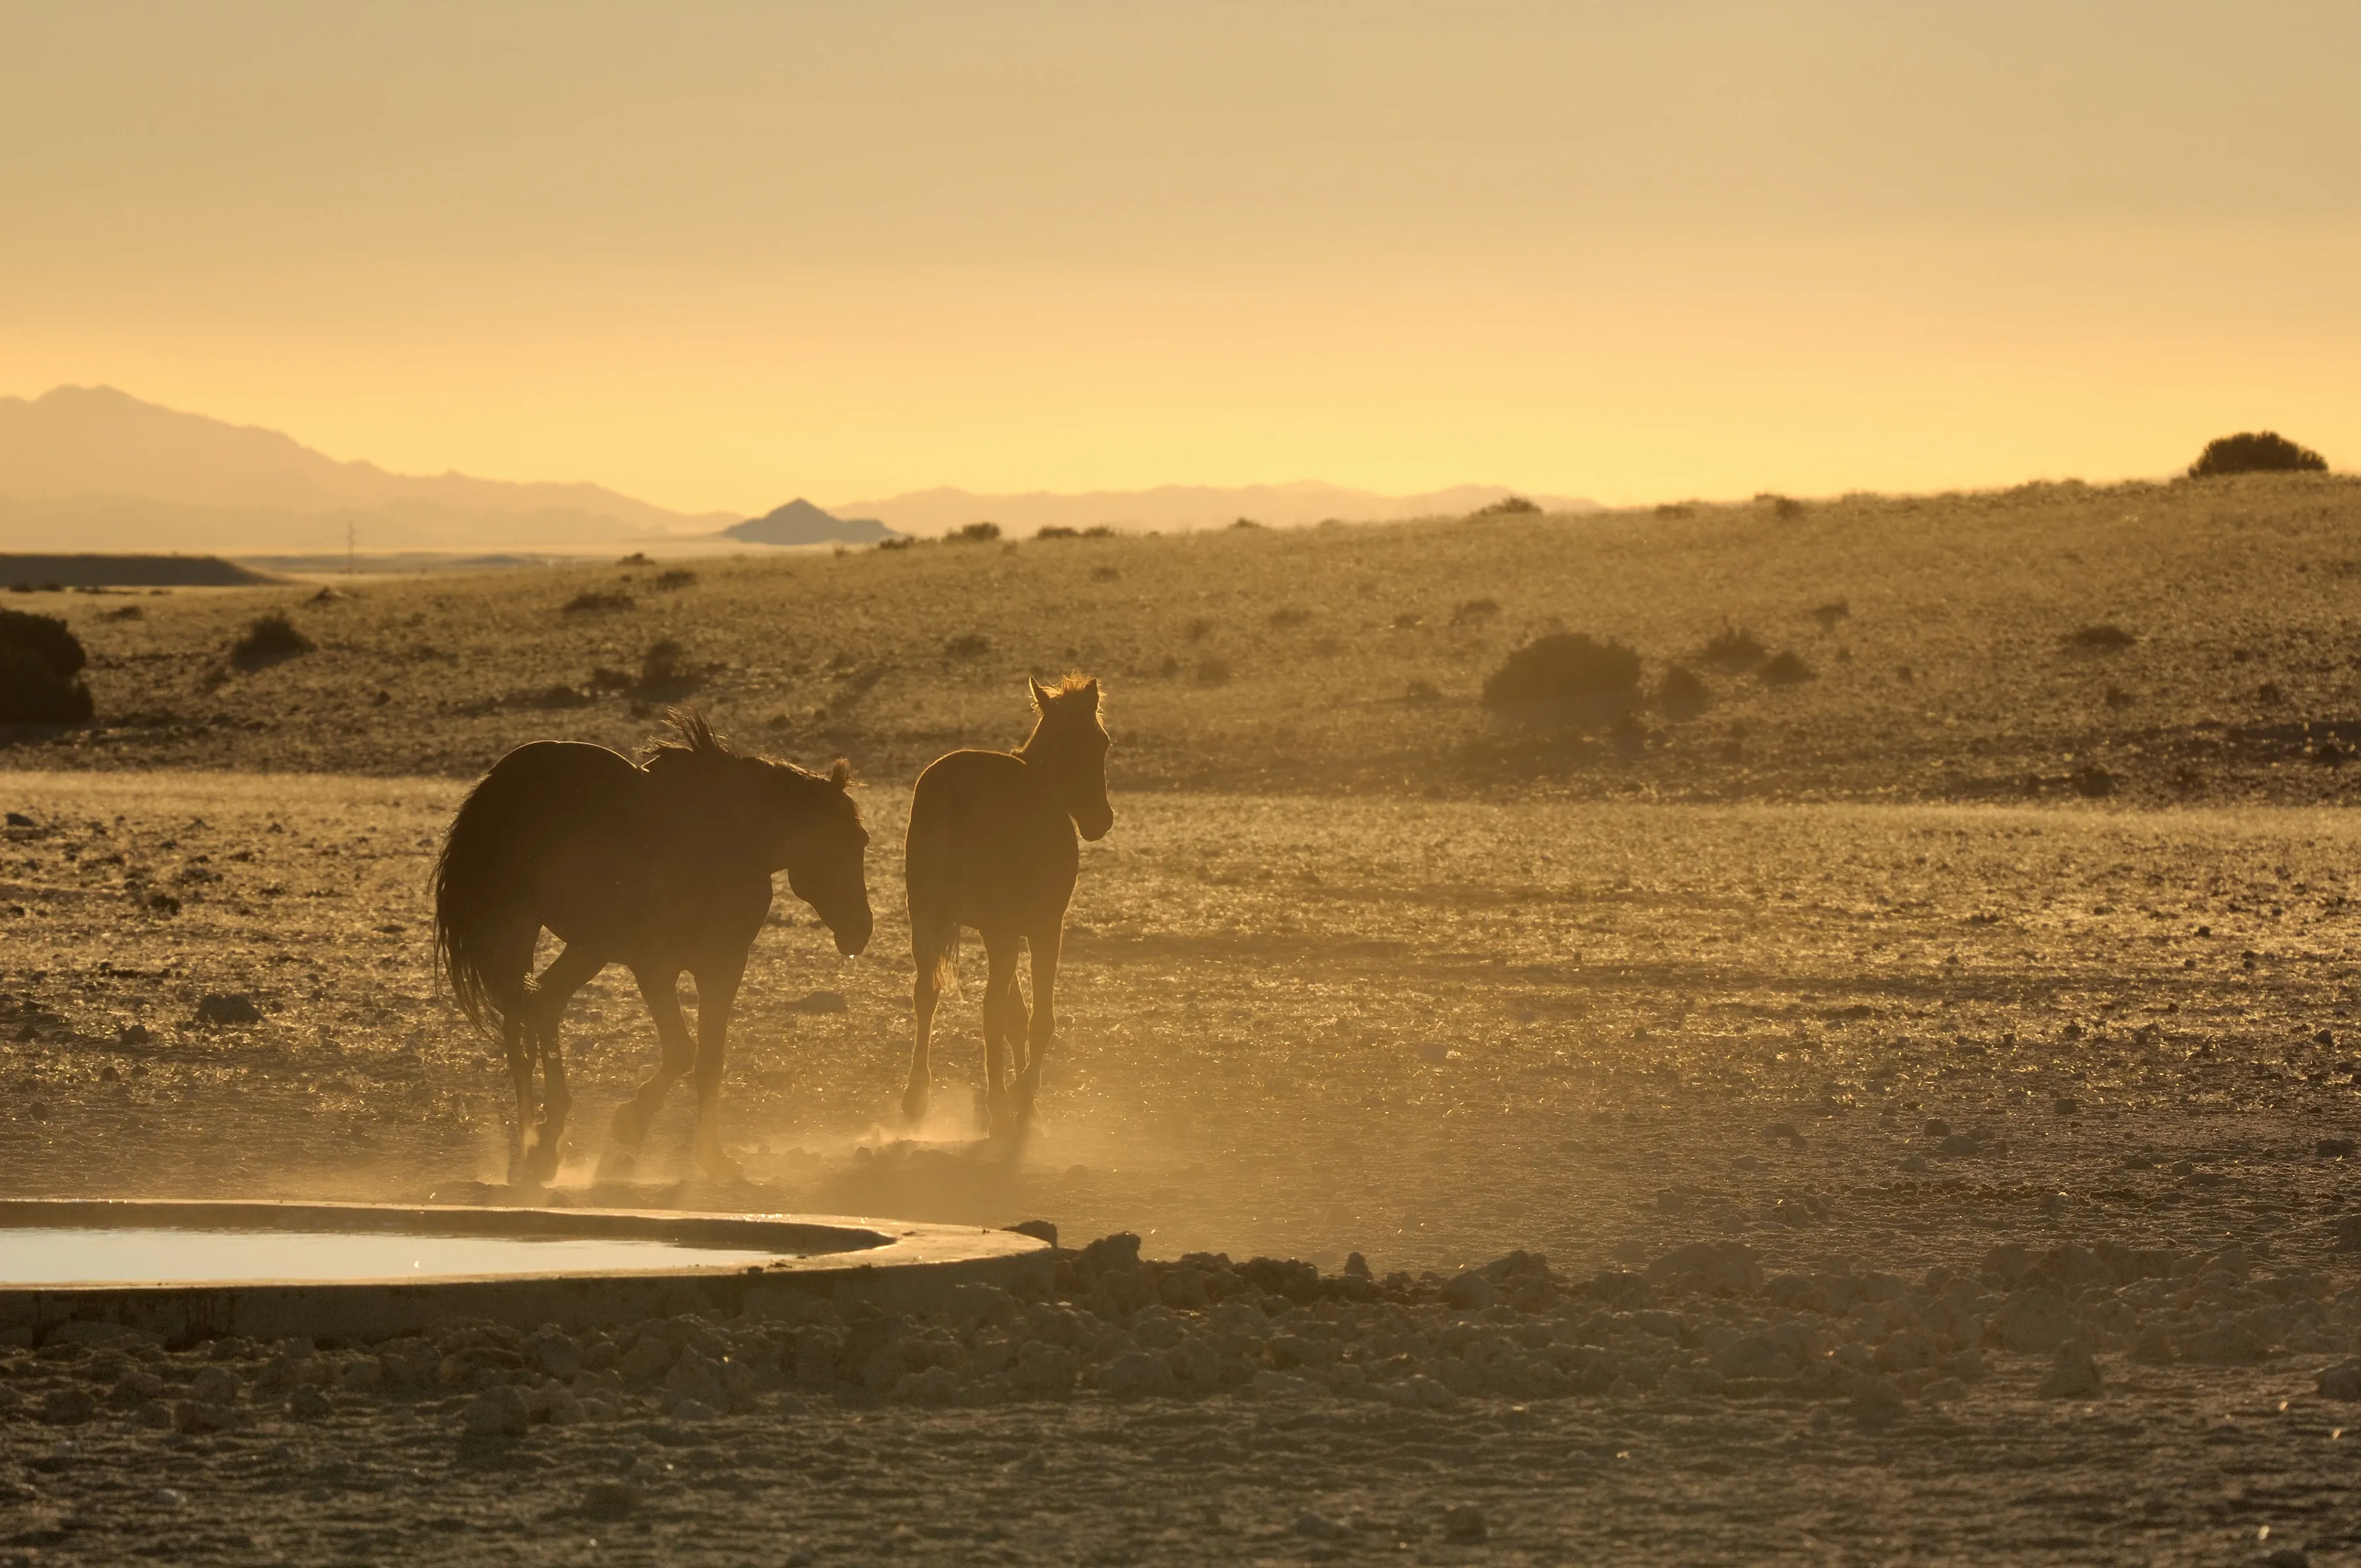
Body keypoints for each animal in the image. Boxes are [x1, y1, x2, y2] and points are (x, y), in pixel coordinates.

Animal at [433, 711, 871, 1182]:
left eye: (862, 841)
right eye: (847, 841)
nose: (861, 930)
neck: (725, 844)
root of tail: (499, 782)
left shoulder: (723, 966)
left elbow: (709, 1061)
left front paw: (712, 1157)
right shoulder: (654, 967)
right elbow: (682, 1050)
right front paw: (632, 1122)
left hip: (588, 947)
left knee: (542, 1006)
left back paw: (546, 1139)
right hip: (523, 932)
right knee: (521, 1023)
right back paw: (532, 1144)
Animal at [903, 674, 1112, 1135]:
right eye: (1102, 742)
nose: (1101, 820)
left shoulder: (996, 929)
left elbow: (1018, 1016)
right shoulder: (1040, 926)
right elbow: (1038, 1019)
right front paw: (1024, 1095)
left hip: (926, 916)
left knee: (927, 993)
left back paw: (916, 1095)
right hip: (999, 928)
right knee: (991, 1008)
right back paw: (998, 1101)